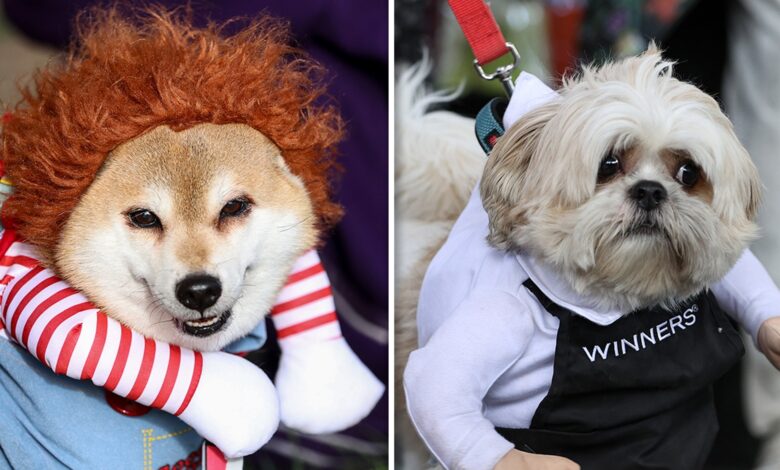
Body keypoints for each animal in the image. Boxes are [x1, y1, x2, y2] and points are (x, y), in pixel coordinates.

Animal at [402, 47, 780, 470]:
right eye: (609, 164)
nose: (650, 191)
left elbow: (742, 271)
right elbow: (436, 390)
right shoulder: (499, 312)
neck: (610, 302)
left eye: (688, 172)